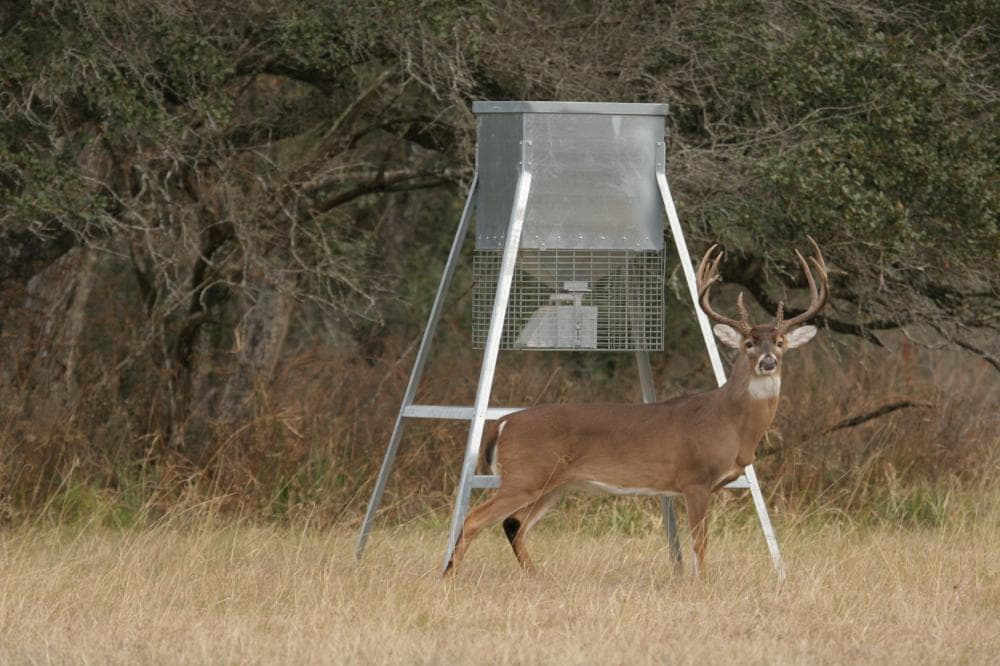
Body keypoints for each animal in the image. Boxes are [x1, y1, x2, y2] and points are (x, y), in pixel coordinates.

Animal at [443, 239, 829, 577]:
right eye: (749, 342)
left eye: (780, 342)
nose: (767, 361)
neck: (730, 422)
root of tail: (502, 423)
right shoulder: (695, 479)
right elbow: (700, 544)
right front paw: (703, 584)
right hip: (525, 475)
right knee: (475, 518)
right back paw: (450, 580)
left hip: (554, 484)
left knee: (515, 525)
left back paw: (534, 578)